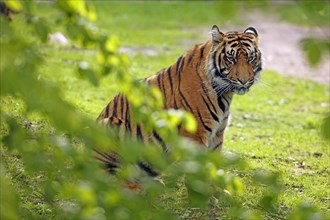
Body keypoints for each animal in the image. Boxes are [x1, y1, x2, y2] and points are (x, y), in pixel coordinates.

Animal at [94, 24, 262, 182]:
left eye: (251, 58)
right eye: (231, 59)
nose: (244, 81)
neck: (224, 94)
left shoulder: (217, 135)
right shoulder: (195, 134)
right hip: (111, 124)